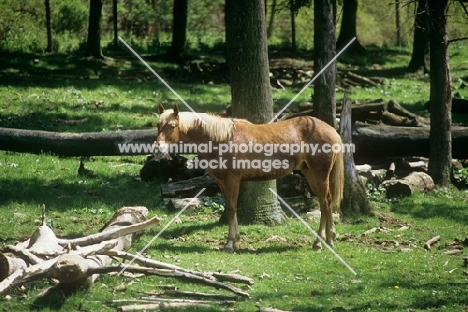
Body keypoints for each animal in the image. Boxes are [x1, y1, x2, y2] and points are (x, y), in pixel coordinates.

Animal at [156, 104, 344, 251]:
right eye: (158, 125)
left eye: (172, 126)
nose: (158, 149)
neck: (222, 139)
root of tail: (332, 130)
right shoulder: (222, 181)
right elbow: (230, 208)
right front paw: (235, 239)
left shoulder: (232, 180)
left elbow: (232, 208)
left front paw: (230, 243)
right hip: (310, 174)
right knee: (325, 202)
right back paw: (328, 238)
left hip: (320, 175)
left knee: (325, 202)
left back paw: (320, 242)